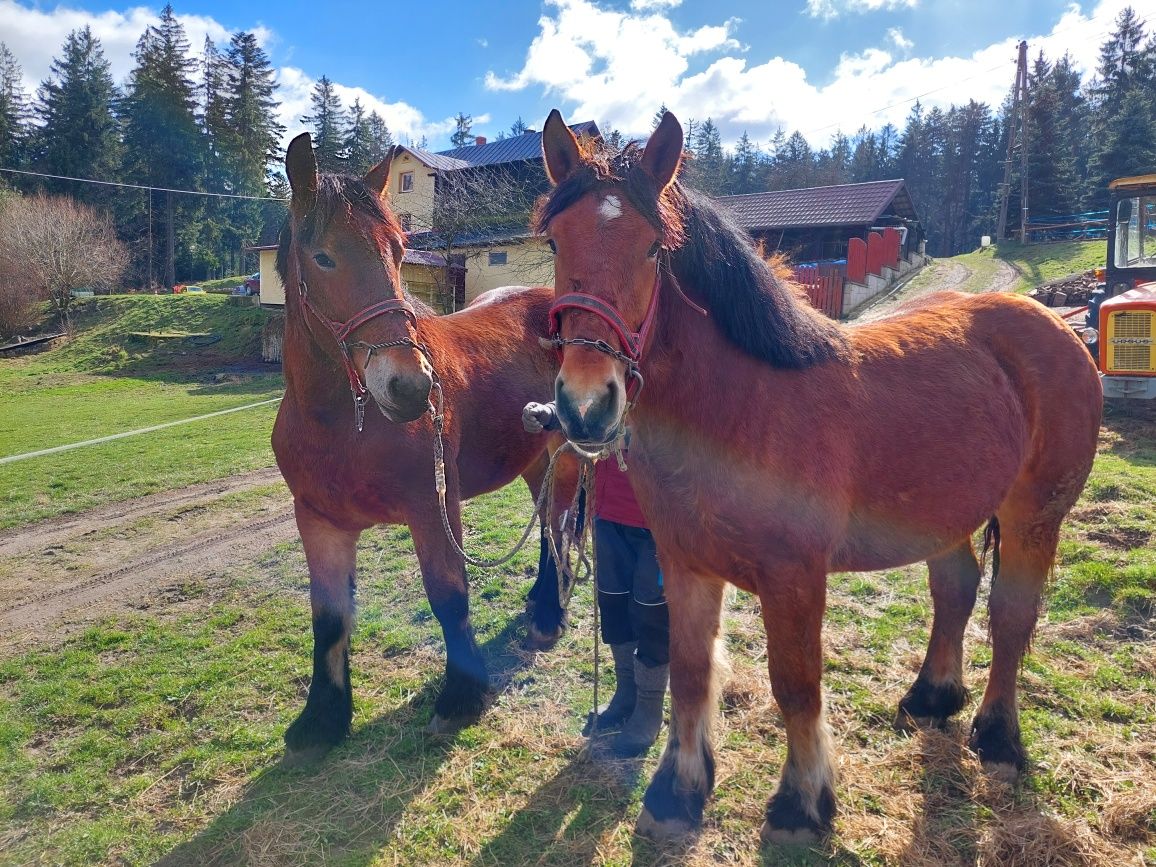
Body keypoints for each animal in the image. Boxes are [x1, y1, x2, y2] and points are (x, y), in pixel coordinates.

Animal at [275, 132, 573, 758]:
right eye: (322, 257)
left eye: (397, 251)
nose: (410, 386)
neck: (346, 424)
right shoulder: (318, 520)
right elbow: (329, 618)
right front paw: (322, 719)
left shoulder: (432, 508)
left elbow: (449, 594)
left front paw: (461, 696)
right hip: (534, 458)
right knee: (546, 527)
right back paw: (540, 605)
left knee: (558, 529)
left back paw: (549, 616)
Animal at [531, 110, 1100, 850]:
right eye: (554, 241)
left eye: (654, 248)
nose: (585, 405)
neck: (742, 406)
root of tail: (1057, 326)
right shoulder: (685, 565)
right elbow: (689, 673)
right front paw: (679, 792)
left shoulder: (794, 578)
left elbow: (796, 685)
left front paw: (803, 803)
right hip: (943, 515)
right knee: (956, 589)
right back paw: (931, 697)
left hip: (1035, 516)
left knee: (1010, 615)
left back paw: (999, 739)